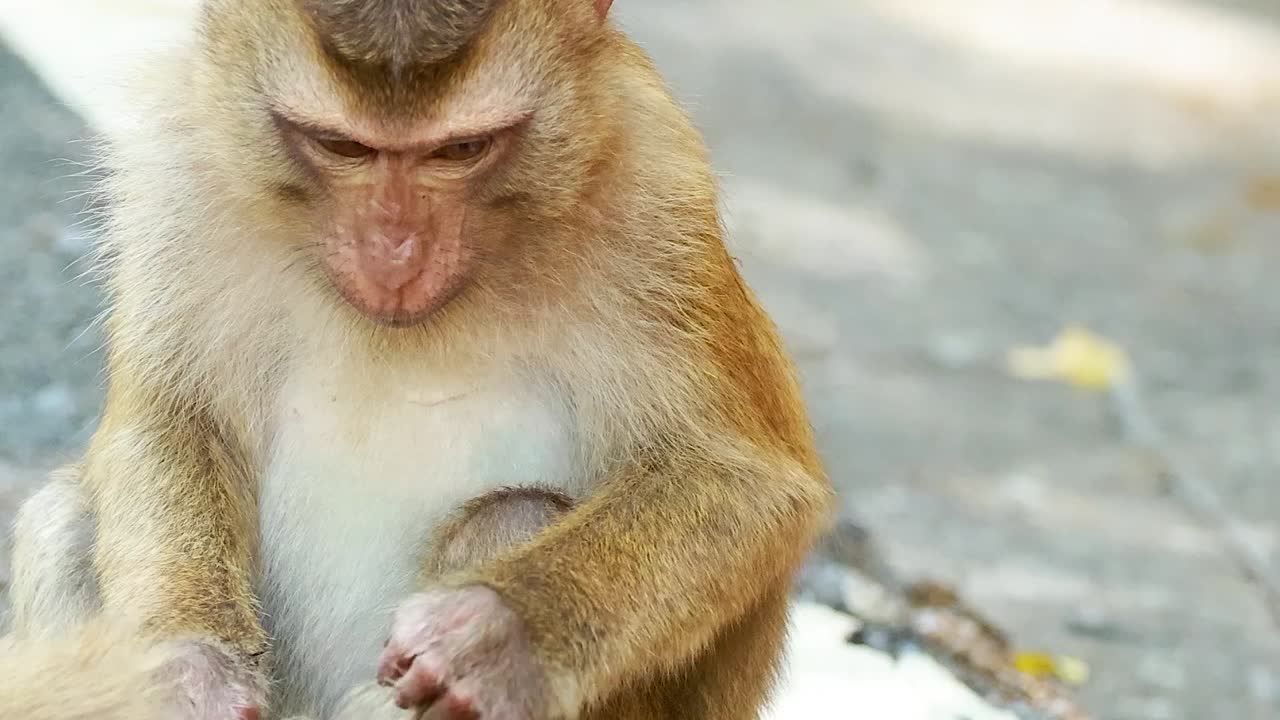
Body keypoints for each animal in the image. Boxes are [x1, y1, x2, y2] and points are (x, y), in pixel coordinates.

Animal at [5, 0, 832, 718]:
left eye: (460, 149)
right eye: (342, 145)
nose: (395, 255)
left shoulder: (657, 190)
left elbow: (742, 482)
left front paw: (498, 639)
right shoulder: (176, 162)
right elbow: (173, 419)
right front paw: (185, 670)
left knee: (511, 516)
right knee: (66, 519)